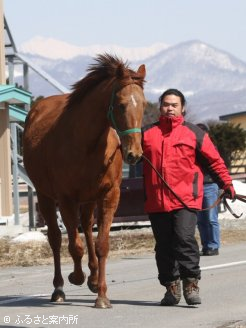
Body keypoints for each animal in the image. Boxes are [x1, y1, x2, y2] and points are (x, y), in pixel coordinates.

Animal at [23, 53, 146, 308]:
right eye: (121, 104)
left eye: (144, 104)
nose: (134, 154)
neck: (88, 143)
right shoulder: (66, 199)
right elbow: (74, 246)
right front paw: (76, 277)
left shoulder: (109, 195)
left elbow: (101, 245)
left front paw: (102, 294)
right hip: (46, 197)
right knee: (56, 238)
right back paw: (59, 287)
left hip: (88, 200)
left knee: (88, 229)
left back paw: (93, 278)